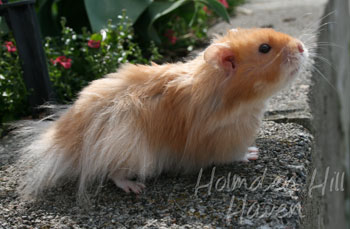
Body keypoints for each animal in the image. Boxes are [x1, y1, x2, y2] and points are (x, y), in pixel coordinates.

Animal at [19, 27, 308, 199]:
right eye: (264, 49)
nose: (303, 47)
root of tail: (64, 143)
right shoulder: (226, 140)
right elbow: (236, 155)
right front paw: (254, 153)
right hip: (125, 145)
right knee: (113, 173)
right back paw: (135, 188)